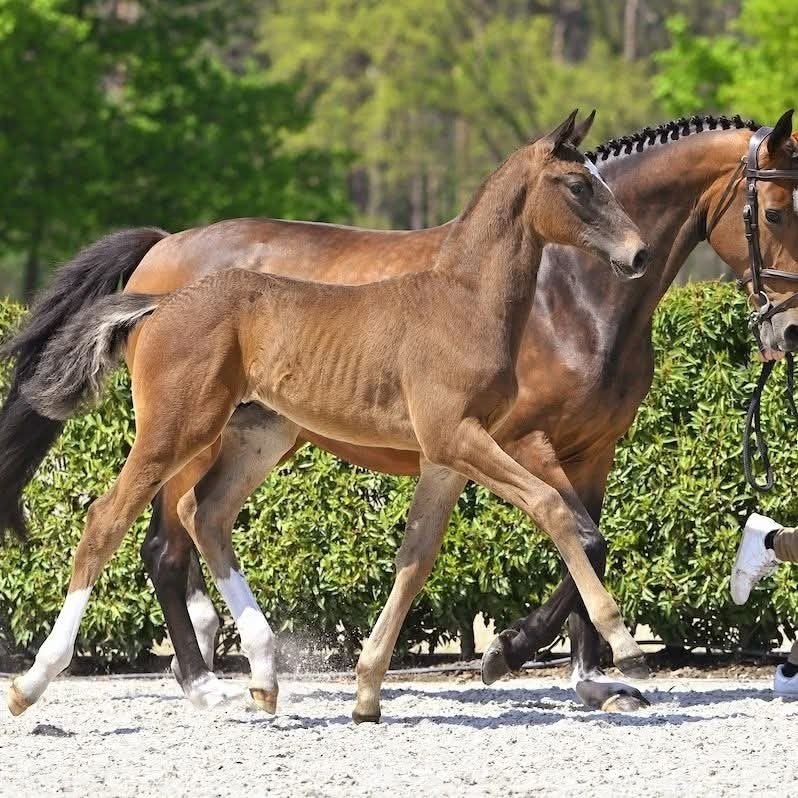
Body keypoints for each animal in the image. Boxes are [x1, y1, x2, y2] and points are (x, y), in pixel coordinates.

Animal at [3, 108, 797, 716]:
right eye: (776, 210)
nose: (786, 329)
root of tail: (158, 276)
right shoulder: (505, 439)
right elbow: (566, 522)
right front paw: (546, 653)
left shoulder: (547, 449)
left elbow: (442, 554)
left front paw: (588, 678)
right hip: (180, 433)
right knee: (129, 531)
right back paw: (105, 682)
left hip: (257, 436)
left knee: (203, 521)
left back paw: (257, 672)